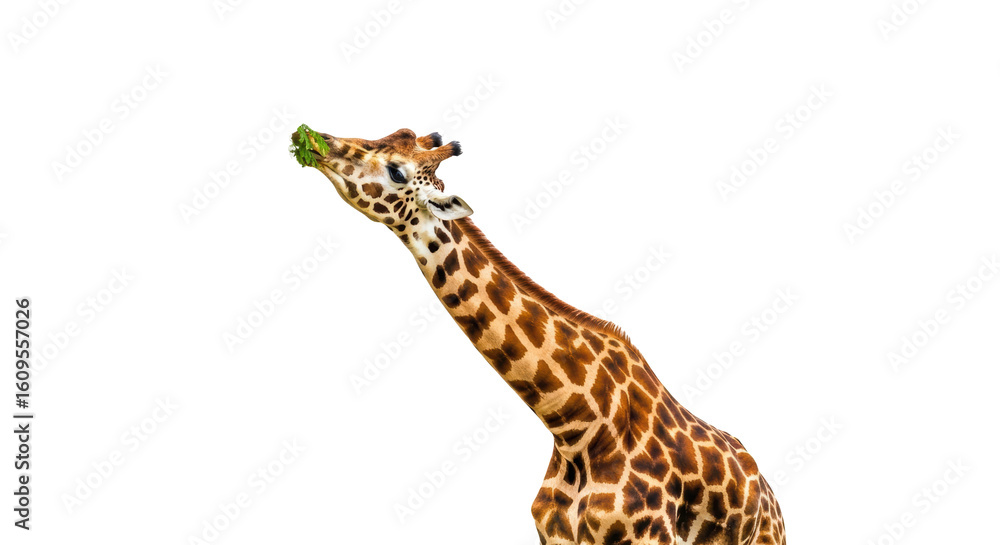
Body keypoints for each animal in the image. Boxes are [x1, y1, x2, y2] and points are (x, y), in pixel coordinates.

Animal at [291, 127, 786, 545]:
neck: (577, 427)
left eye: (397, 171)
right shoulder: (555, 536)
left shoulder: (649, 536)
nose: (314, 141)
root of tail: (769, 494)